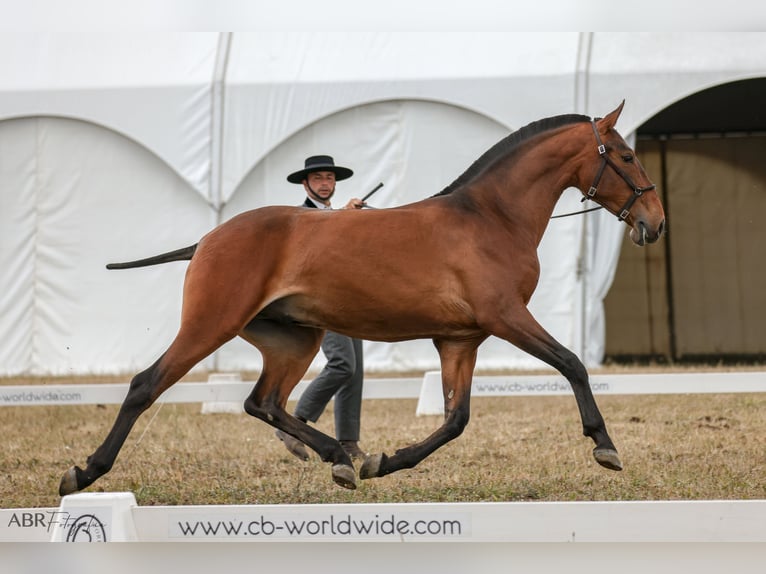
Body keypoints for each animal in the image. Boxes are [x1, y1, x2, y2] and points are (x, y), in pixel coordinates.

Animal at [60, 101, 664, 498]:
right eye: (626, 156)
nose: (654, 223)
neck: (490, 218)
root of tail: (208, 239)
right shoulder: (507, 317)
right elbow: (572, 364)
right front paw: (605, 447)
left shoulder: (459, 339)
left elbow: (455, 420)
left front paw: (382, 462)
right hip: (211, 324)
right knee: (147, 385)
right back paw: (84, 473)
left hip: (293, 341)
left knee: (265, 402)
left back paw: (340, 460)